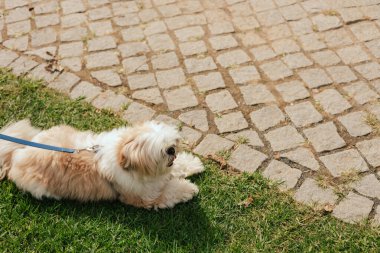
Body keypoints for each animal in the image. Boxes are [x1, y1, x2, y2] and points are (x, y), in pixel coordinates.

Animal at [0, 119, 205, 209]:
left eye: (171, 142)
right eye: (161, 151)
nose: (171, 150)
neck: (124, 153)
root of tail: (17, 154)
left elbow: (178, 168)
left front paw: (194, 164)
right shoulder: (144, 197)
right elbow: (169, 191)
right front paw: (189, 188)